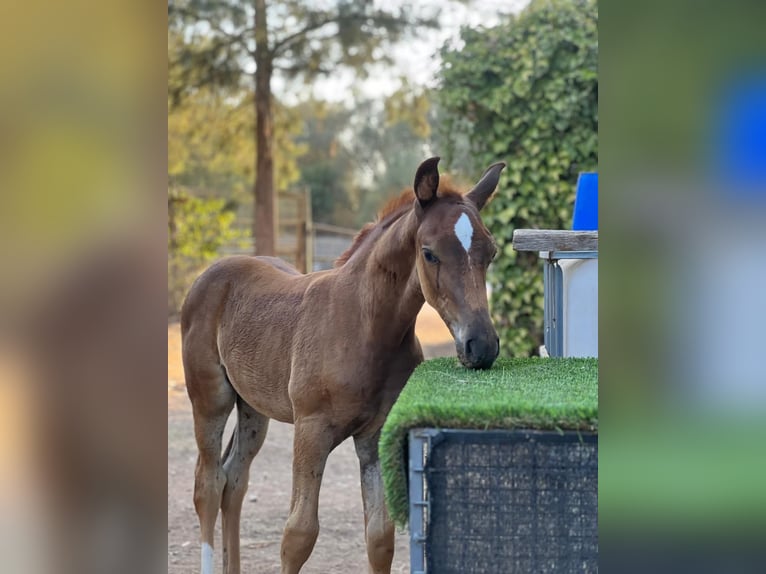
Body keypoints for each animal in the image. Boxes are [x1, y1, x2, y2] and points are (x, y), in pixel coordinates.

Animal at [183, 158, 508, 574]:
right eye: (429, 253)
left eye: (491, 252)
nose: (480, 345)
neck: (364, 327)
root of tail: (210, 272)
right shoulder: (310, 430)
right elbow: (298, 535)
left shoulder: (376, 435)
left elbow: (380, 537)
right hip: (211, 399)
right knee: (207, 485)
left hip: (253, 409)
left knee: (233, 481)